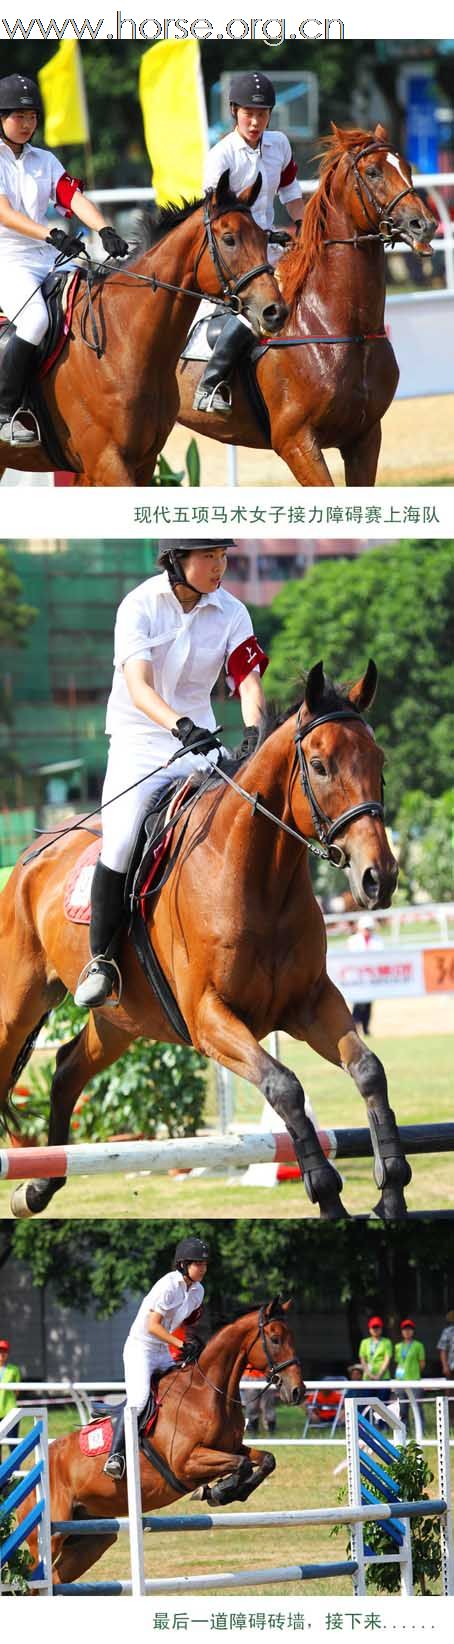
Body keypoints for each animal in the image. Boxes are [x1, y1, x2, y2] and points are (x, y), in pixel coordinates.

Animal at [0, 177, 282, 489]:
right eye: (229, 239)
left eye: (264, 238)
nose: (274, 311)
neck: (123, 341)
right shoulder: (107, 462)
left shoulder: (141, 462)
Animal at [0, 657, 411, 1223]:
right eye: (321, 765)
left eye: (379, 760)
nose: (379, 878)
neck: (255, 878)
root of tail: (29, 855)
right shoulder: (209, 1017)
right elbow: (284, 1085)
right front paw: (326, 1192)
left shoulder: (309, 1004)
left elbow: (368, 1070)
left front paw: (391, 1188)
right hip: (17, 1005)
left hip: (121, 1020)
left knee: (65, 1069)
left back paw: (38, 1188)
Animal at [21, 1302, 304, 1584]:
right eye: (275, 1339)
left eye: (292, 1337)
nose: (297, 1391)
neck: (206, 1393)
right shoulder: (185, 1463)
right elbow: (242, 1464)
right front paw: (218, 1492)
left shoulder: (230, 1448)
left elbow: (265, 1460)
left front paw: (228, 1492)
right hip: (49, 1538)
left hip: (92, 1540)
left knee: (57, 1577)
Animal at [176, 122, 437, 483]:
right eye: (372, 172)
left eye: (407, 167)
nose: (424, 225)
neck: (336, 325)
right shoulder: (296, 442)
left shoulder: (365, 438)